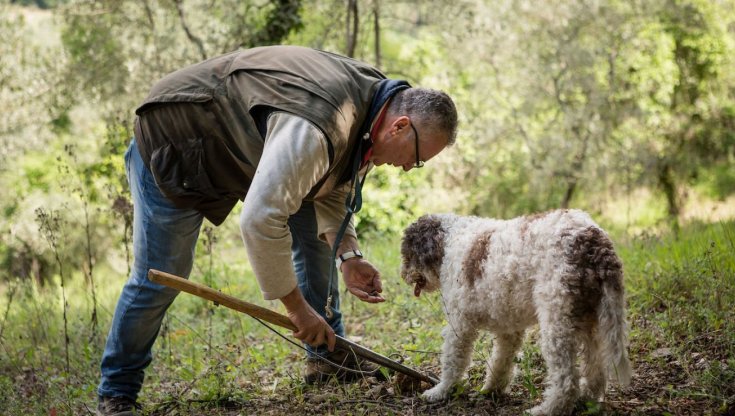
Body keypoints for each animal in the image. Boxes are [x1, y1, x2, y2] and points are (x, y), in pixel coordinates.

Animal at [402, 210, 632, 414]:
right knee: (596, 369)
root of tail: (594, 241)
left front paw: (440, 391)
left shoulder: (459, 324)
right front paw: (491, 390)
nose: (403, 275)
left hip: (558, 323)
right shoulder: (508, 330)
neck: (449, 240)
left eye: (407, 254)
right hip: (593, 320)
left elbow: (453, 361)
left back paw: (546, 410)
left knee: (567, 380)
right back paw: (587, 402)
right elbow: (501, 361)